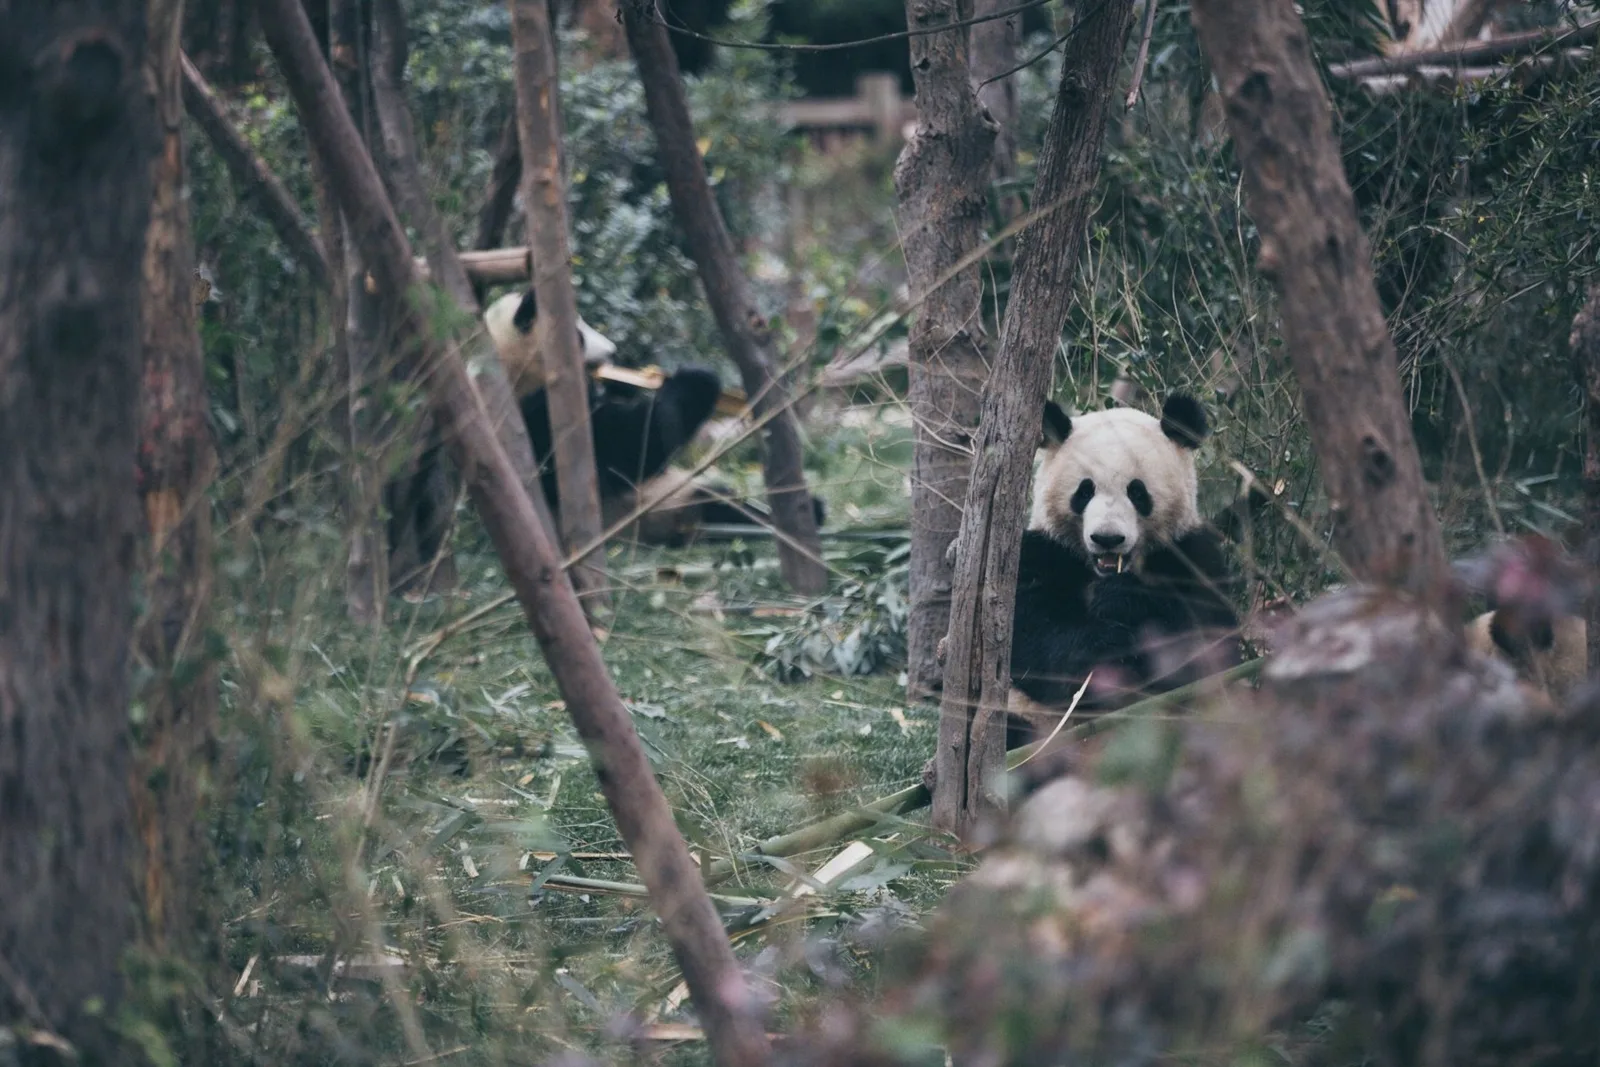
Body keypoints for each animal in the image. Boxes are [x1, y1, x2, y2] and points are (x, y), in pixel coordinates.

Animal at [1007, 393, 1242, 748]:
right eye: (1084, 491)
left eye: (1137, 492)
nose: (1107, 538)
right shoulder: (1043, 554)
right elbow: (1030, 636)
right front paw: (1104, 647)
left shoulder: (1191, 556)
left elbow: (1209, 641)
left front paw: (1122, 599)